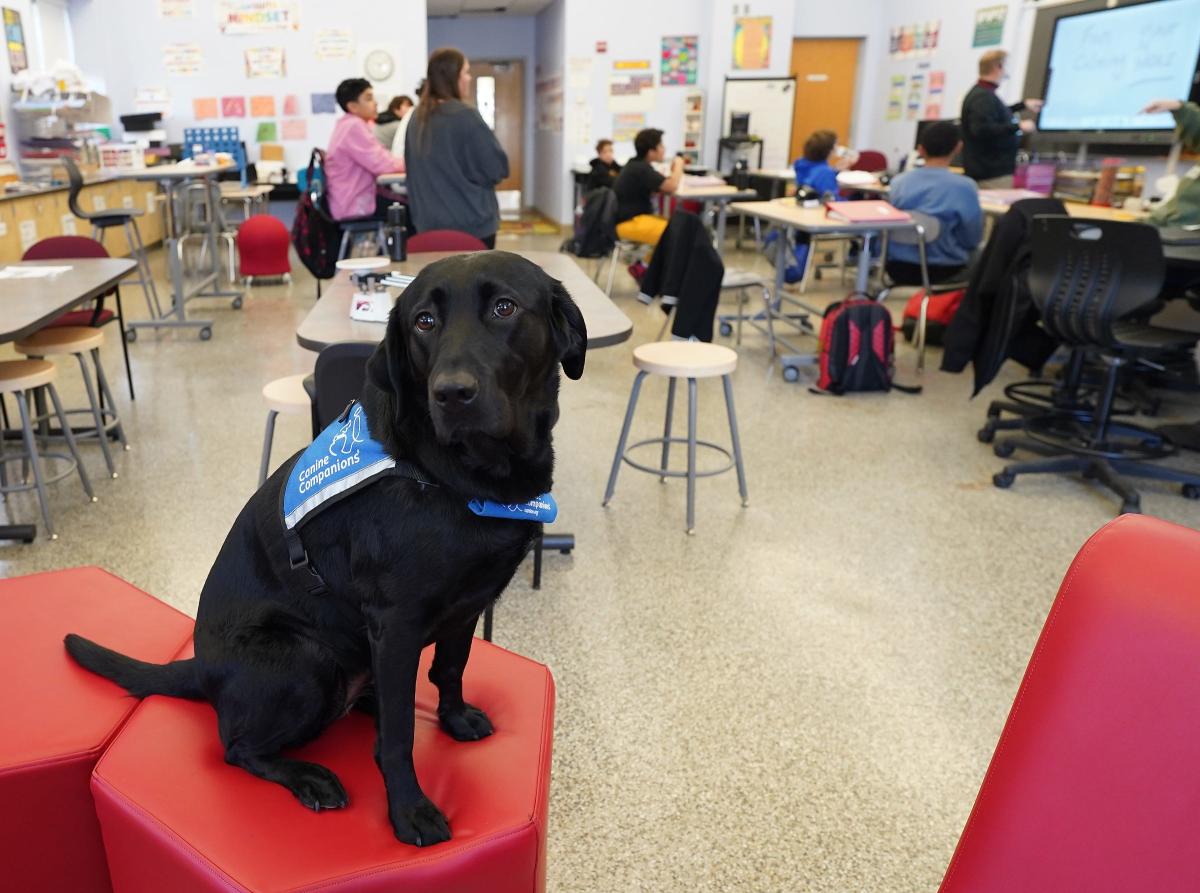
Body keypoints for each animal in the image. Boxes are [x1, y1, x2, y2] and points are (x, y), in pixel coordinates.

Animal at [68, 249, 588, 844]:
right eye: (424, 322)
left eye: (505, 307)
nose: (452, 393)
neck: (454, 476)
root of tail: (201, 668)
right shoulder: (397, 622)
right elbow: (400, 738)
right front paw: (408, 811)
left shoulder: (469, 603)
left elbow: (451, 670)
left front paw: (455, 720)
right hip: (306, 658)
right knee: (236, 747)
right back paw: (308, 776)